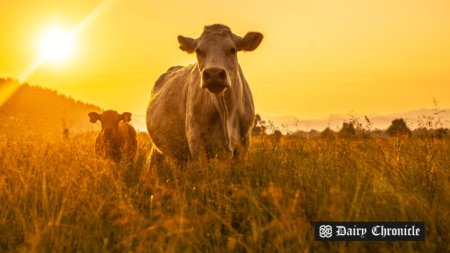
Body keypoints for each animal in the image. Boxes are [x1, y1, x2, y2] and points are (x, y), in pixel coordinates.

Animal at [146, 23, 262, 166]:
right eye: (199, 51)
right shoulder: (195, 139)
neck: (226, 111)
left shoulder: (244, 142)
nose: (214, 74)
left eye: (232, 50)